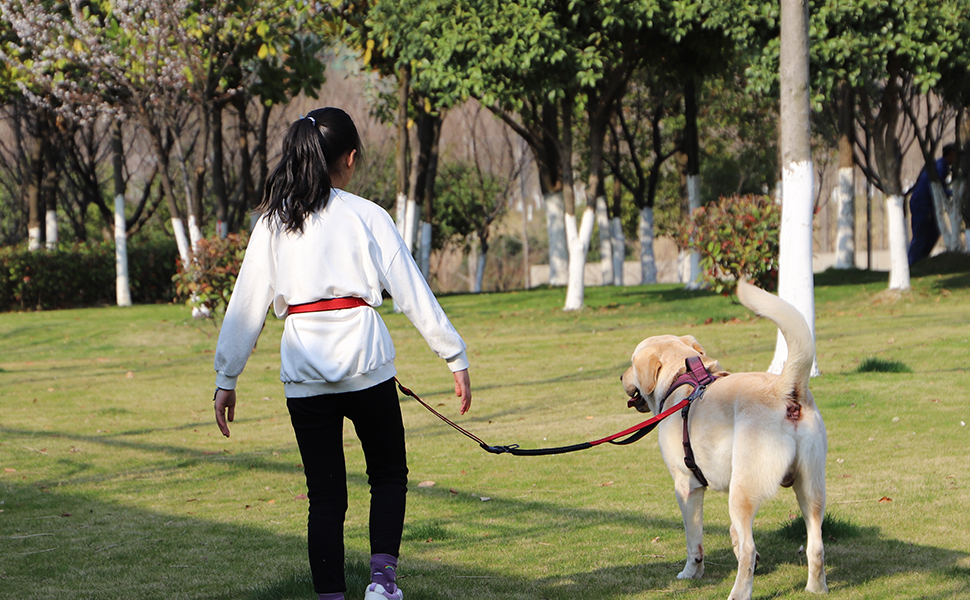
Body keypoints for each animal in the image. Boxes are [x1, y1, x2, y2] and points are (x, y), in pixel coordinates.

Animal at [620, 282, 824, 600]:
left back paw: (739, 592)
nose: (620, 376)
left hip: (743, 492)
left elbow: (695, 541)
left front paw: (691, 572)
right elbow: (735, 534)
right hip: (810, 490)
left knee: (750, 547)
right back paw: (816, 588)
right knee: (815, 544)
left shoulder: (687, 487)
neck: (682, 378)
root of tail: (785, 389)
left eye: (631, 363)